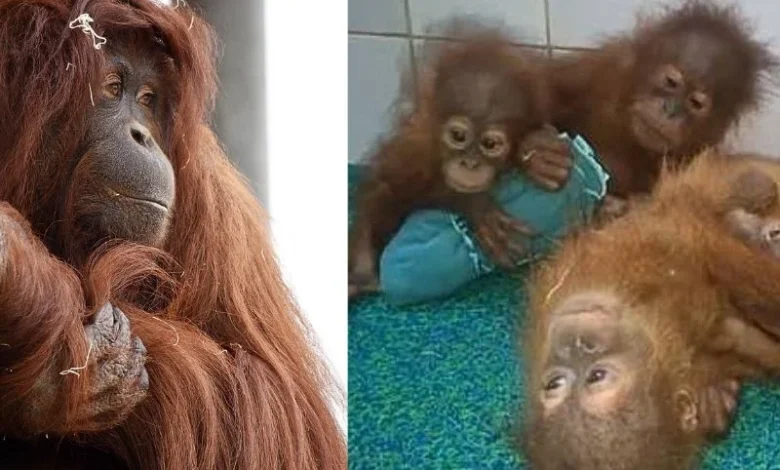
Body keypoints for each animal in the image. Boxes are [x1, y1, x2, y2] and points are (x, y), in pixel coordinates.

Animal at [349, 26, 571, 296]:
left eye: (490, 144)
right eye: (458, 136)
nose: (470, 164)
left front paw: (538, 155)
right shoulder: (415, 147)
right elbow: (393, 189)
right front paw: (477, 208)